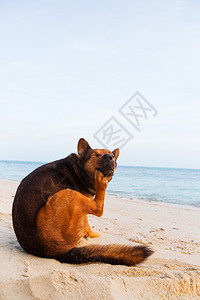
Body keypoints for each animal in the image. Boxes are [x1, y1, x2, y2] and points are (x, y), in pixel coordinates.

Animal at [12, 138, 153, 264]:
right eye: (95, 155)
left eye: (112, 155)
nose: (109, 157)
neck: (80, 168)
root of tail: (58, 253)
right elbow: (87, 221)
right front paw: (91, 234)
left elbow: (86, 222)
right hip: (68, 194)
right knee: (99, 208)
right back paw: (101, 183)